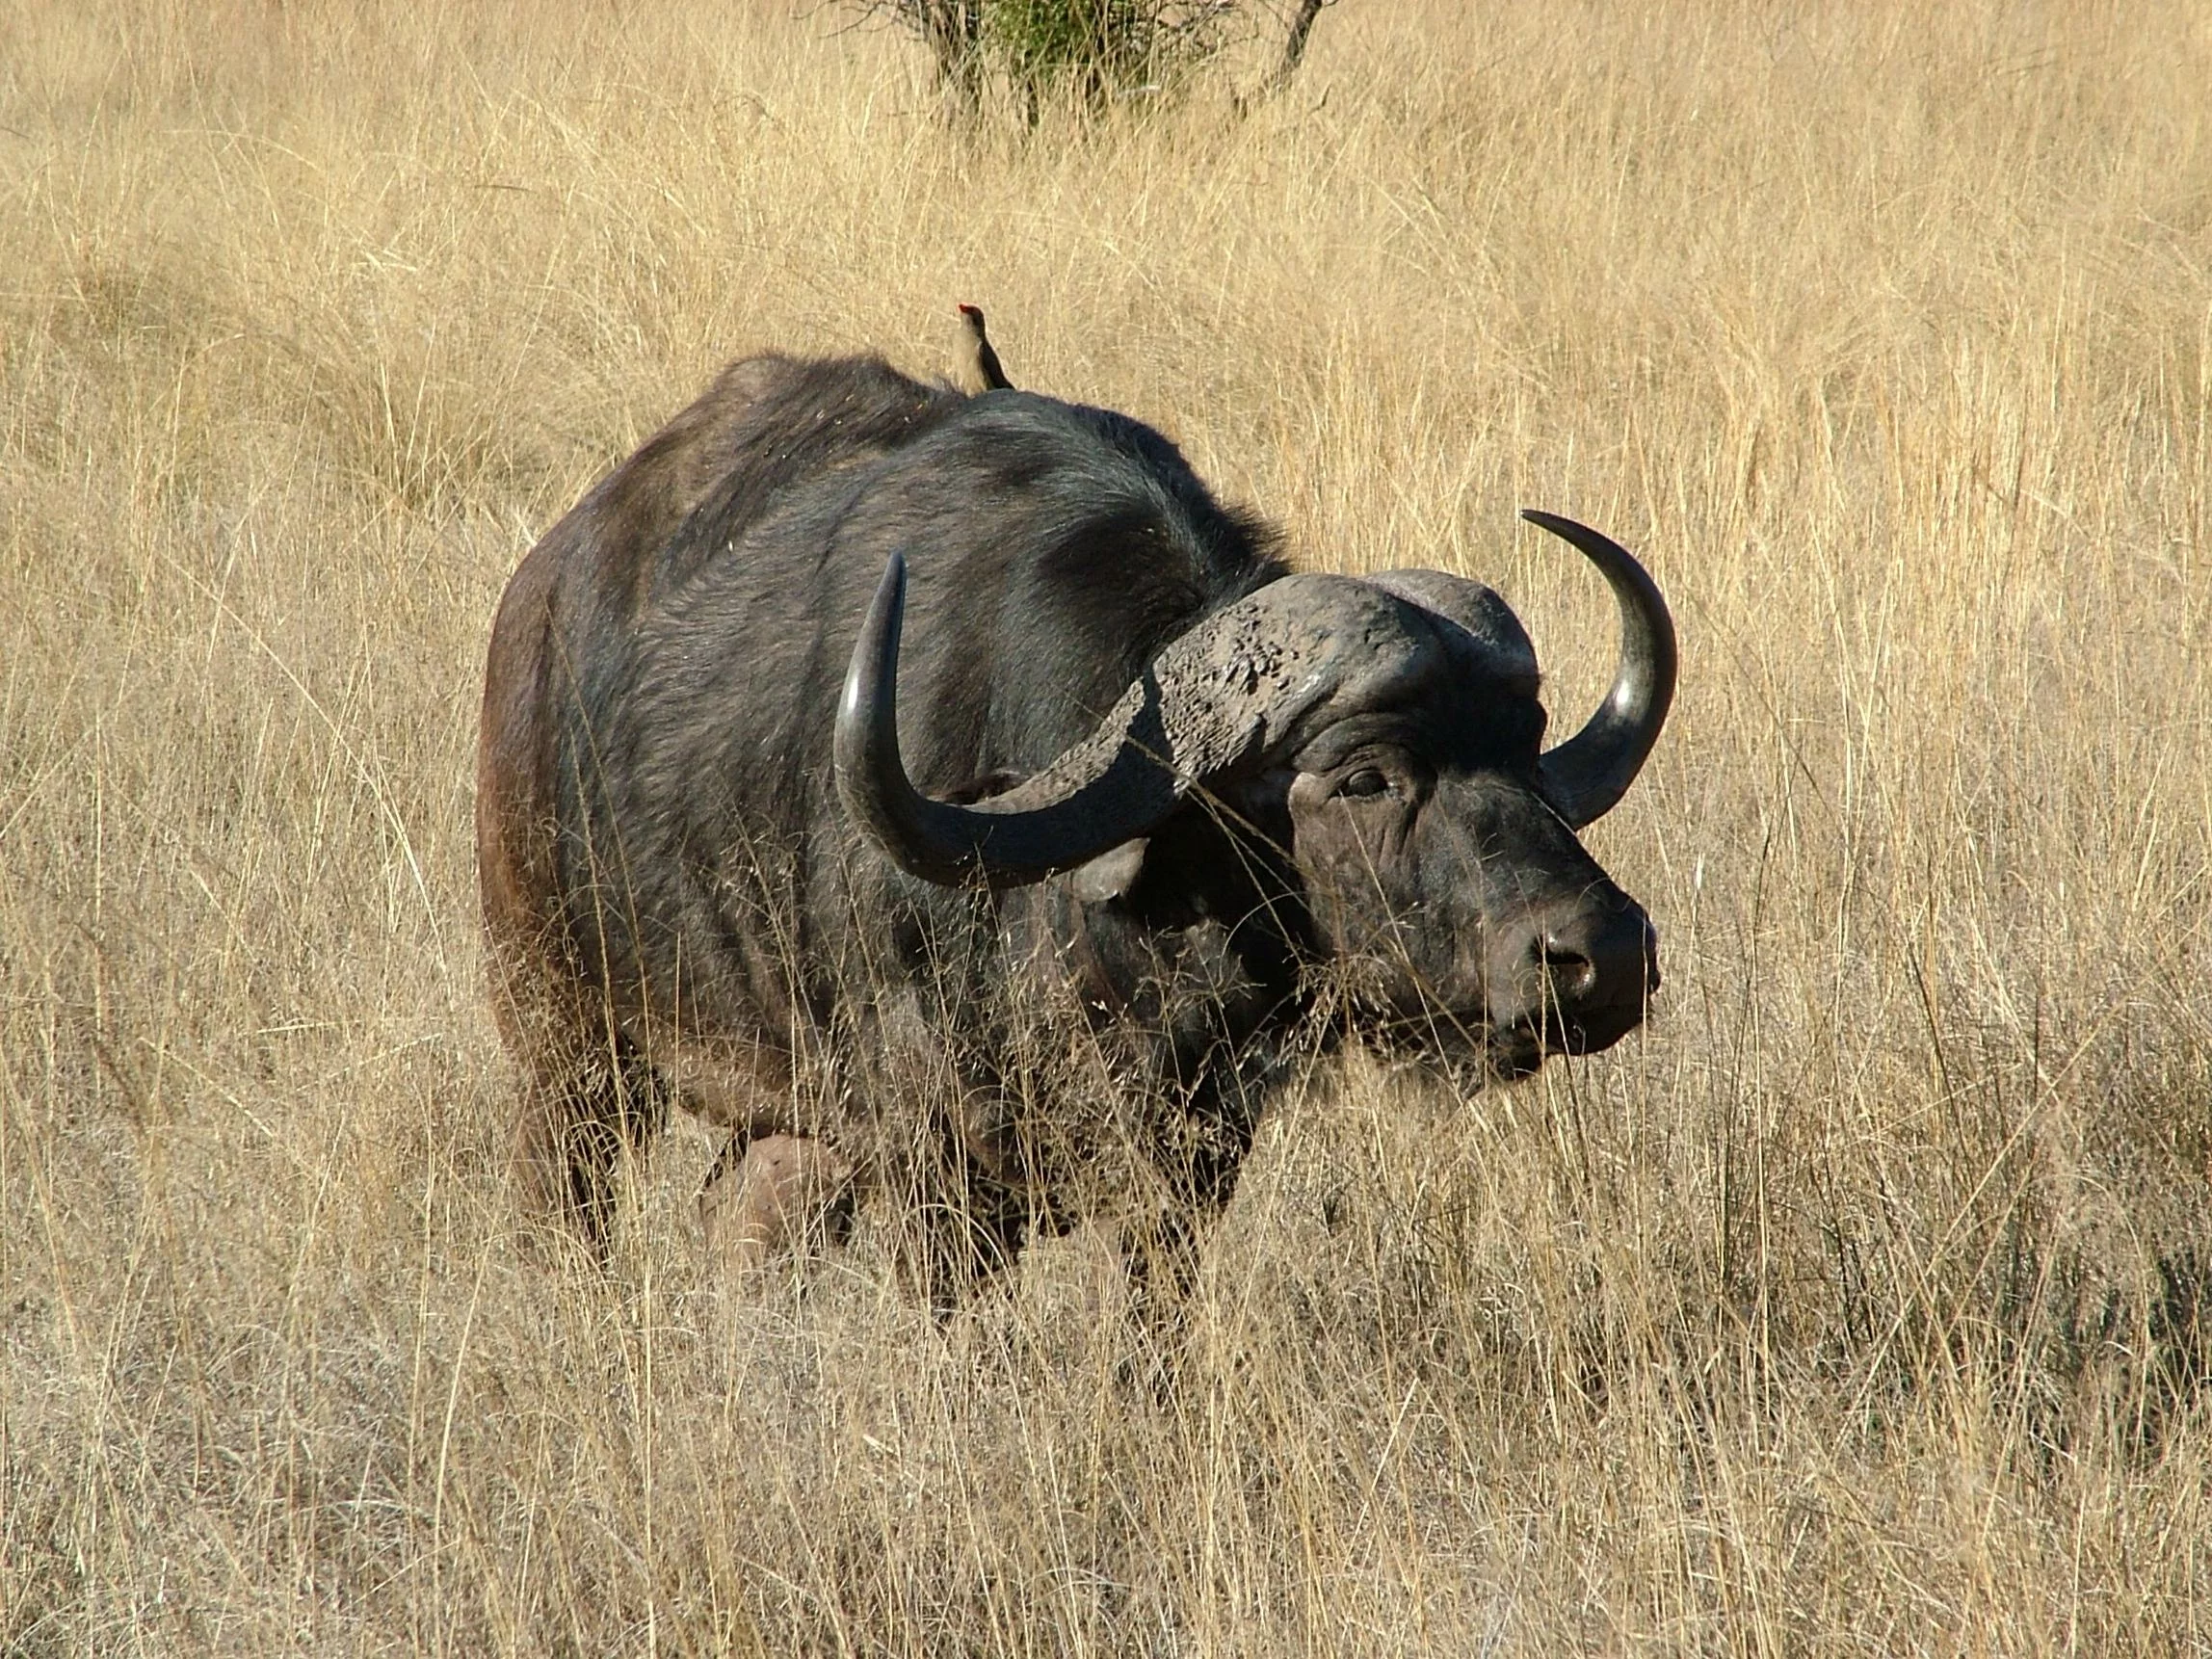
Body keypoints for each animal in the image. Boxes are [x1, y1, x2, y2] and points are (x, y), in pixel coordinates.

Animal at [471, 352, 1672, 1309]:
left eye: (1526, 743)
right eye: (1365, 777)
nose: (1601, 955)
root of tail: (538, 593)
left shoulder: (1185, 1170)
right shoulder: (937, 1170)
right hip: (563, 1042)